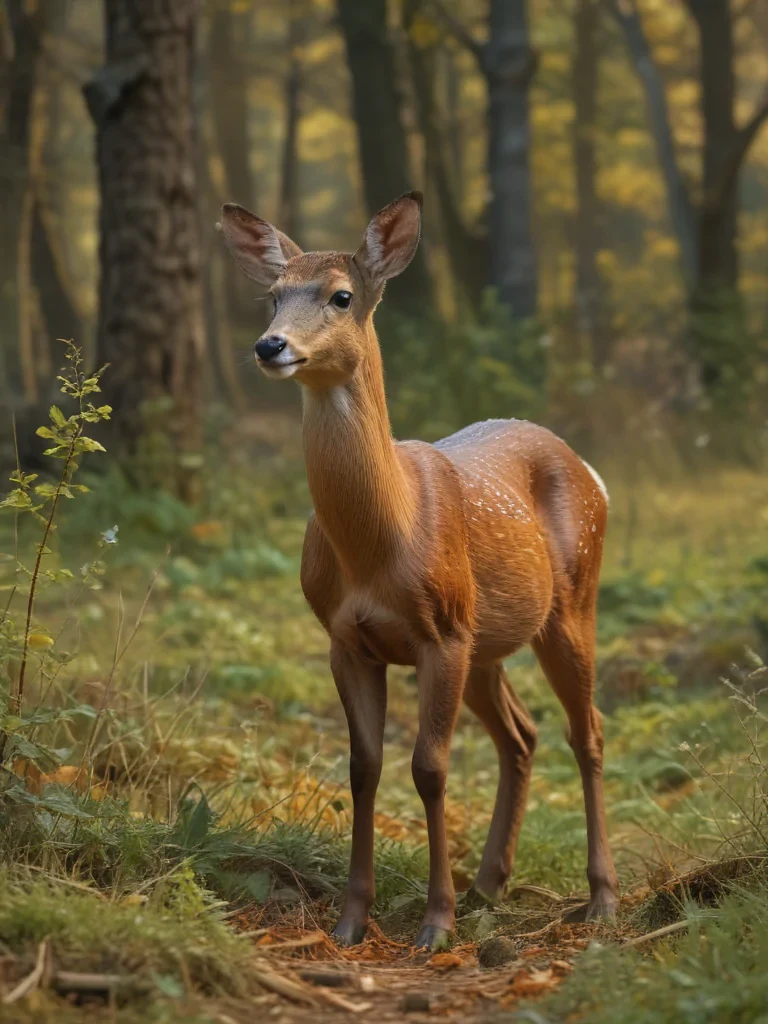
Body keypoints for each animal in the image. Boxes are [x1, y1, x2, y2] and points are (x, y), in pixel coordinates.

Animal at [219, 192, 619, 951]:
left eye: (341, 296)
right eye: (273, 296)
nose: (269, 346)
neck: (380, 545)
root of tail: (593, 471)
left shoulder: (442, 633)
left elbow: (429, 769)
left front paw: (436, 923)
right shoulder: (347, 640)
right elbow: (364, 767)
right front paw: (352, 918)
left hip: (568, 603)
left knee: (588, 732)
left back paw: (602, 896)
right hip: (488, 640)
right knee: (522, 734)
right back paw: (489, 883)